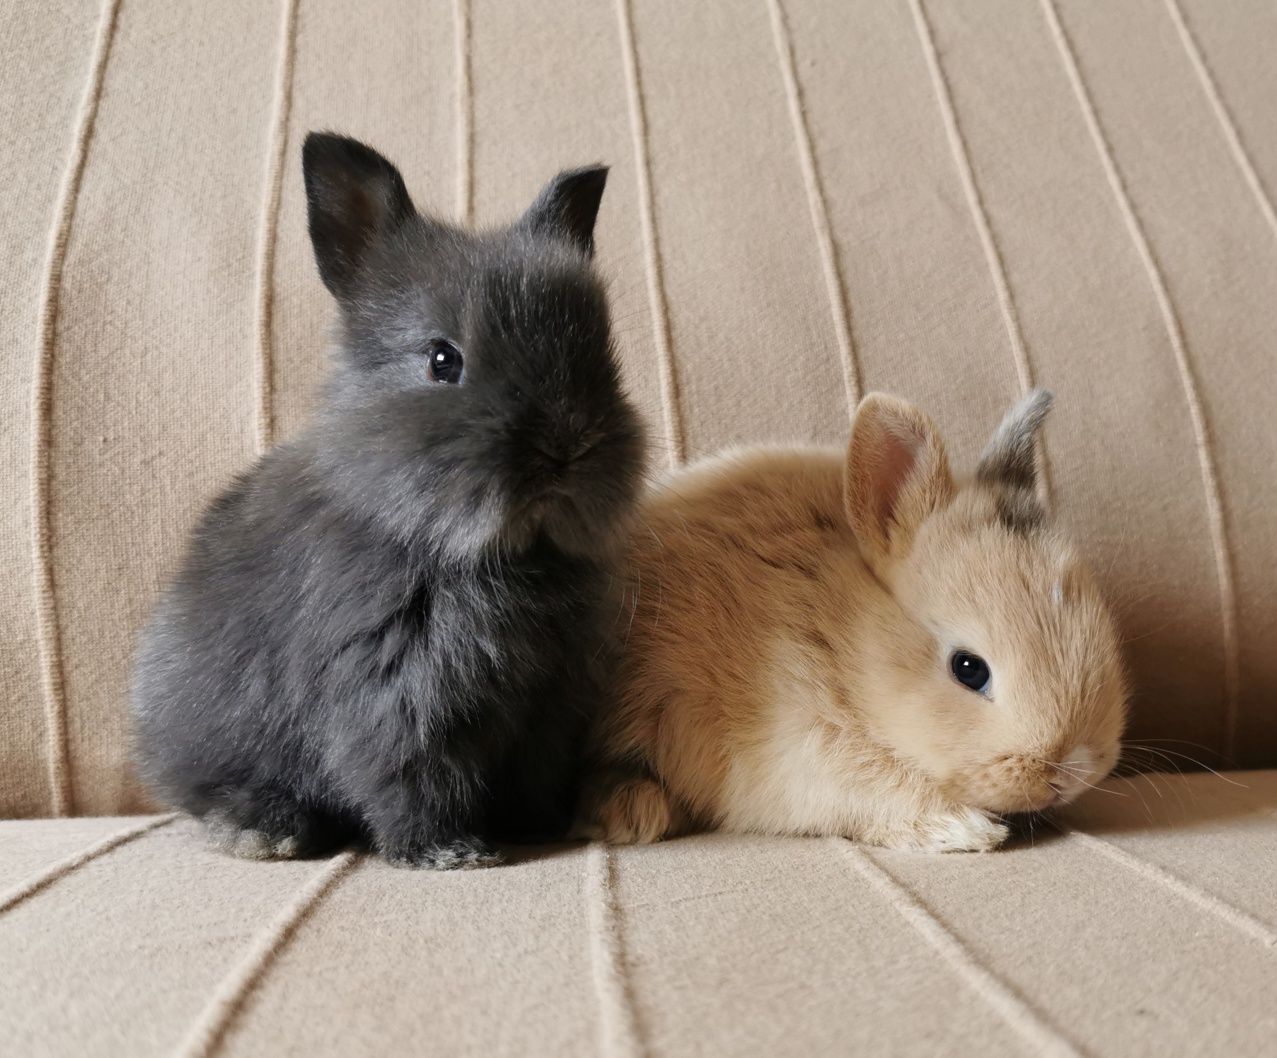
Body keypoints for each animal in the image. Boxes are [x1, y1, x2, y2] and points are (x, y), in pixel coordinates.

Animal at [579, 390, 1128, 852]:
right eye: (969, 668)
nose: (1072, 771)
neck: (842, 640)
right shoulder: (808, 749)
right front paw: (963, 829)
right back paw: (634, 811)